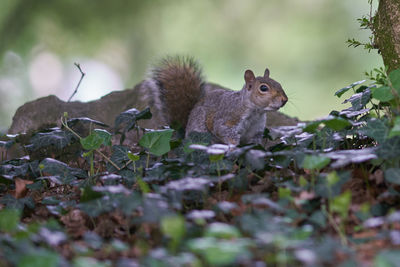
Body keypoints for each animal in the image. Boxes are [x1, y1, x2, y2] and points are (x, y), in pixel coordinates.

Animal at [138, 55, 288, 146]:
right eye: (263, 88)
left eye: (279, 83)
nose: (284, 100)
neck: (255, 112)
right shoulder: (228, 118)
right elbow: (222, 130)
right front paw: (234, 145)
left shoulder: (256, 130)